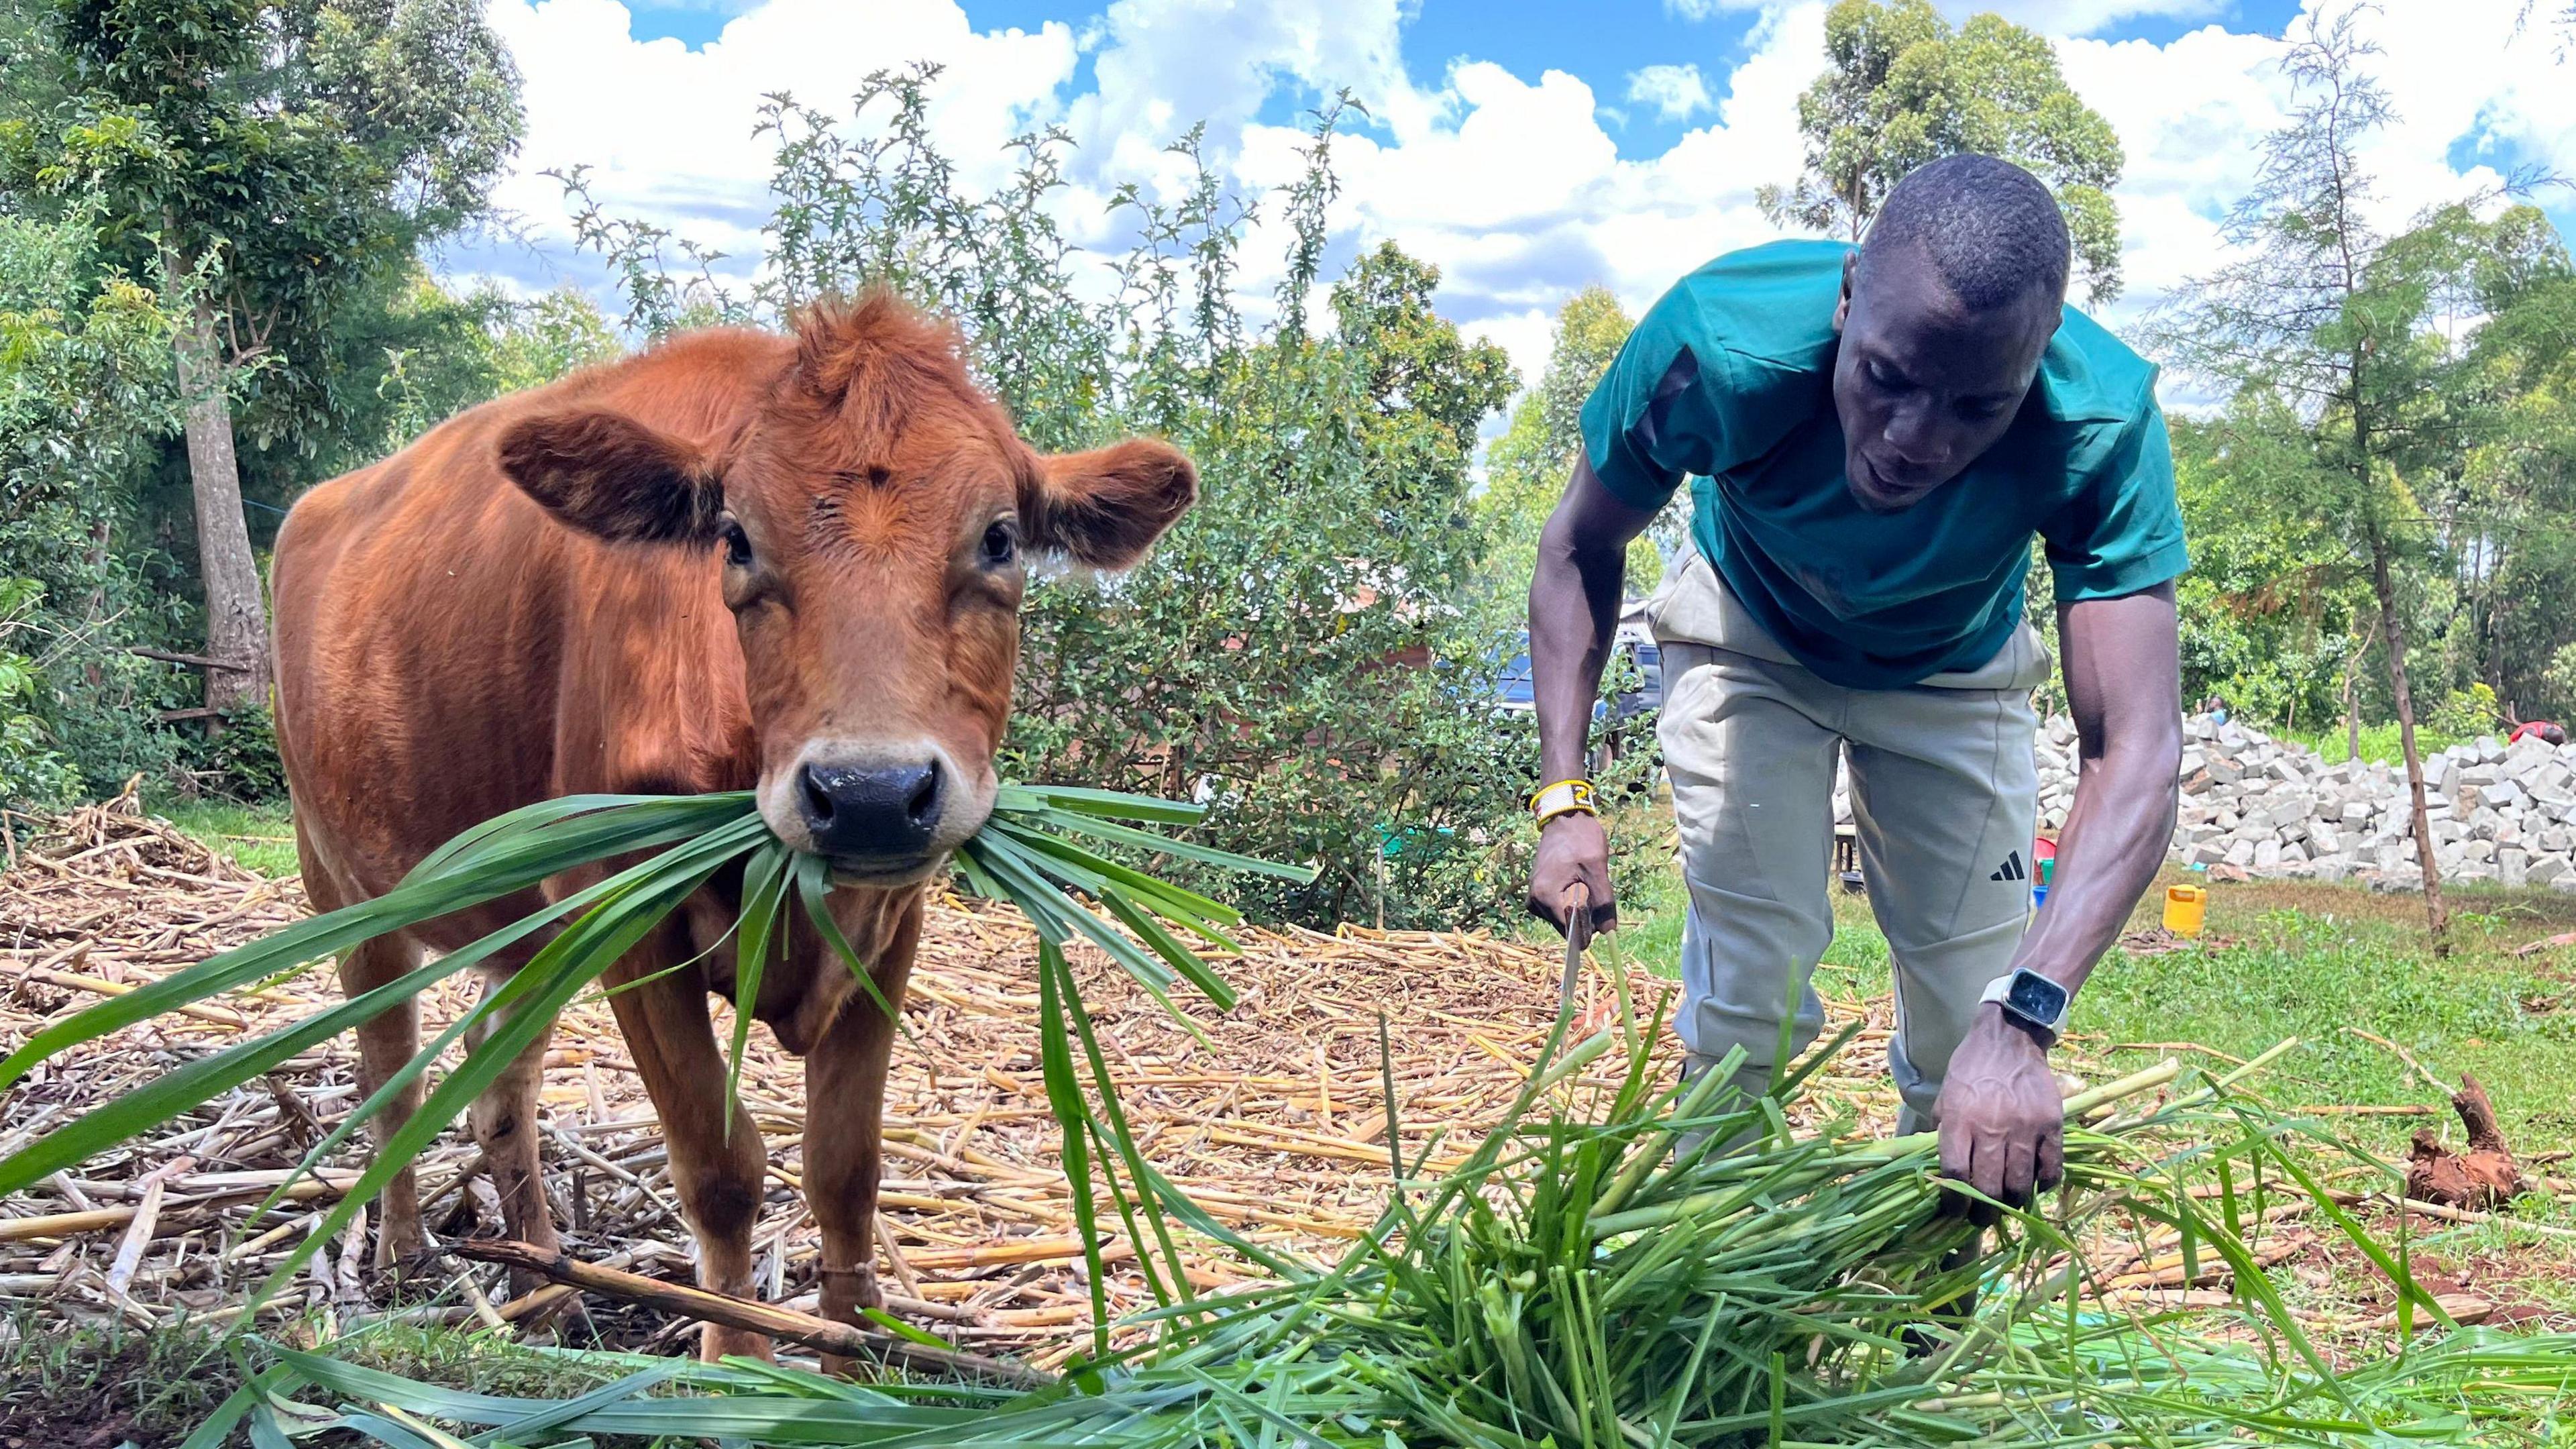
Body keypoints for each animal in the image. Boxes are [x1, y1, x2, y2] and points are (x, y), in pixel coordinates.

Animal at [272, 290, 1195, 1350]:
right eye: (738, 539)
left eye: (1000, 538)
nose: (870, 793)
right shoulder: (621, 910)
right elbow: (720, 1169)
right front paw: (737, 1360)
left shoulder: (892, 922)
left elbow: (845, 1167)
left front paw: (855, 1350)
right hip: (341, 879)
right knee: (393, 1068)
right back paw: (402, 1249)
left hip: (530, 933)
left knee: (498, 1085)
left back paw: (544, 1280)